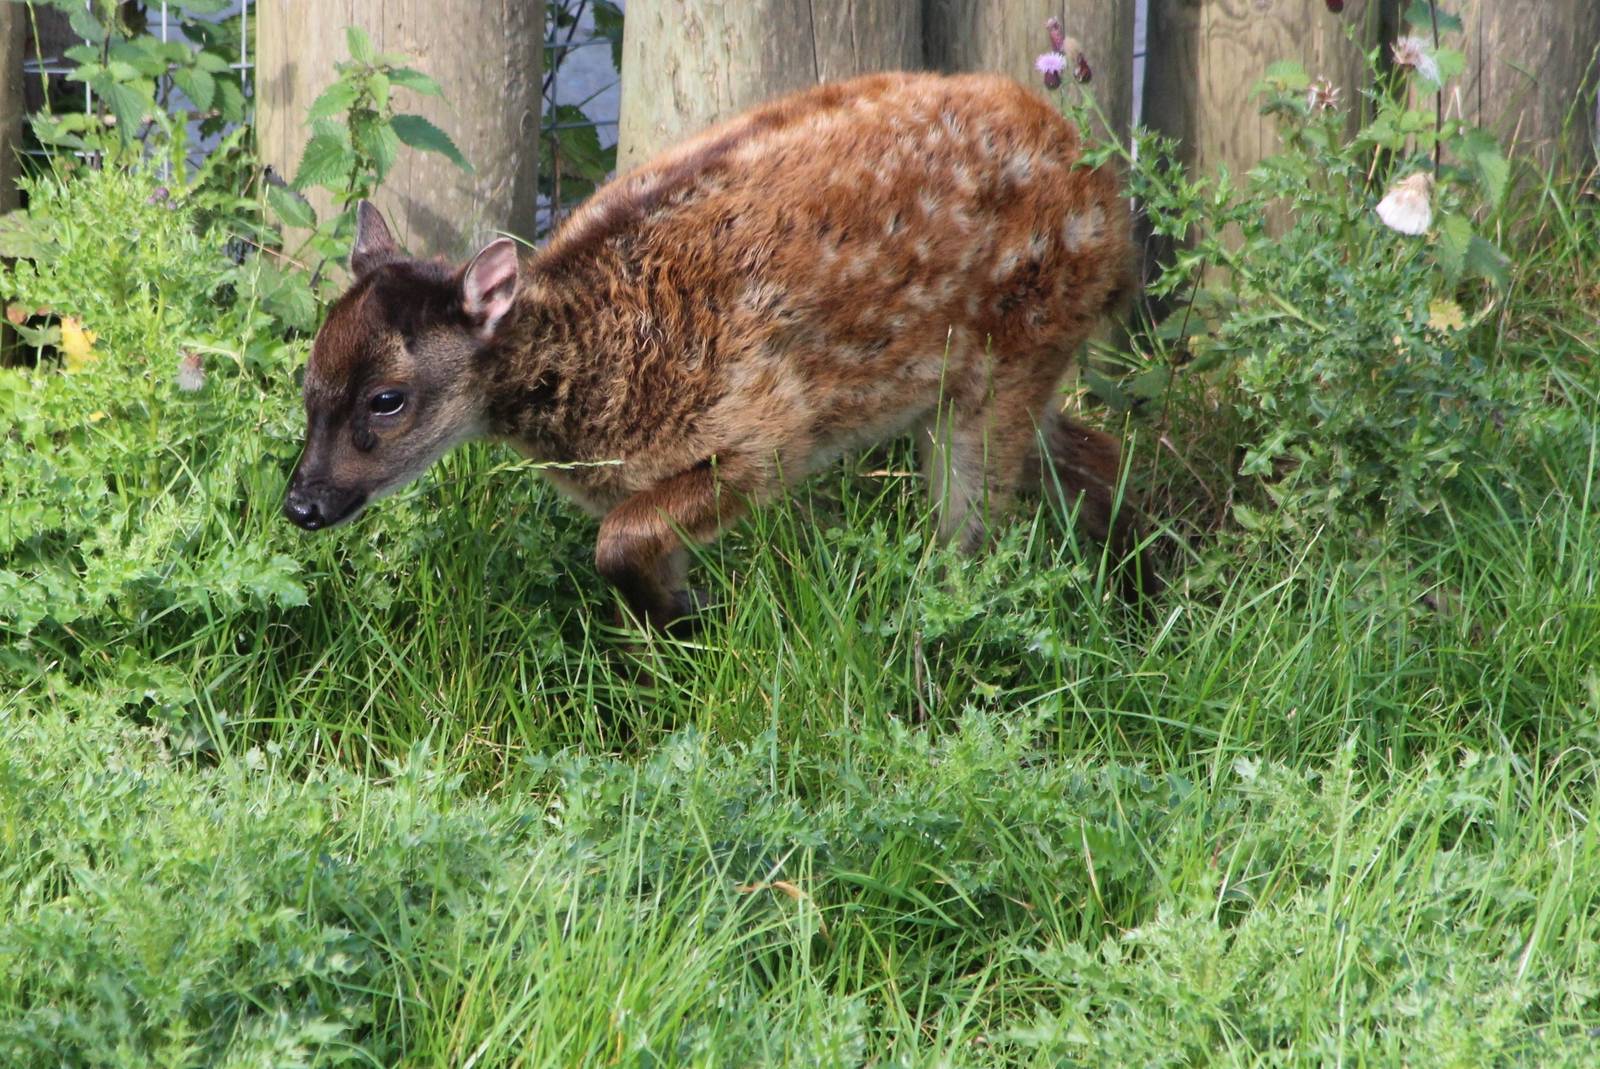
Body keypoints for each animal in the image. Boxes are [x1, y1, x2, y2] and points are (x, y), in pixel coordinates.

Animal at [283, 71, 1154, 632]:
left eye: (387, 399)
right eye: (307, 382)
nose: (301, 504)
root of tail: (1110, 202)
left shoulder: (766, 432)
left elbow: (616, 540)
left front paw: (689, 619)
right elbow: (633, 553)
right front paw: (678, 634)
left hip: (1007, 357)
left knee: (973, 544)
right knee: (1095, 454)